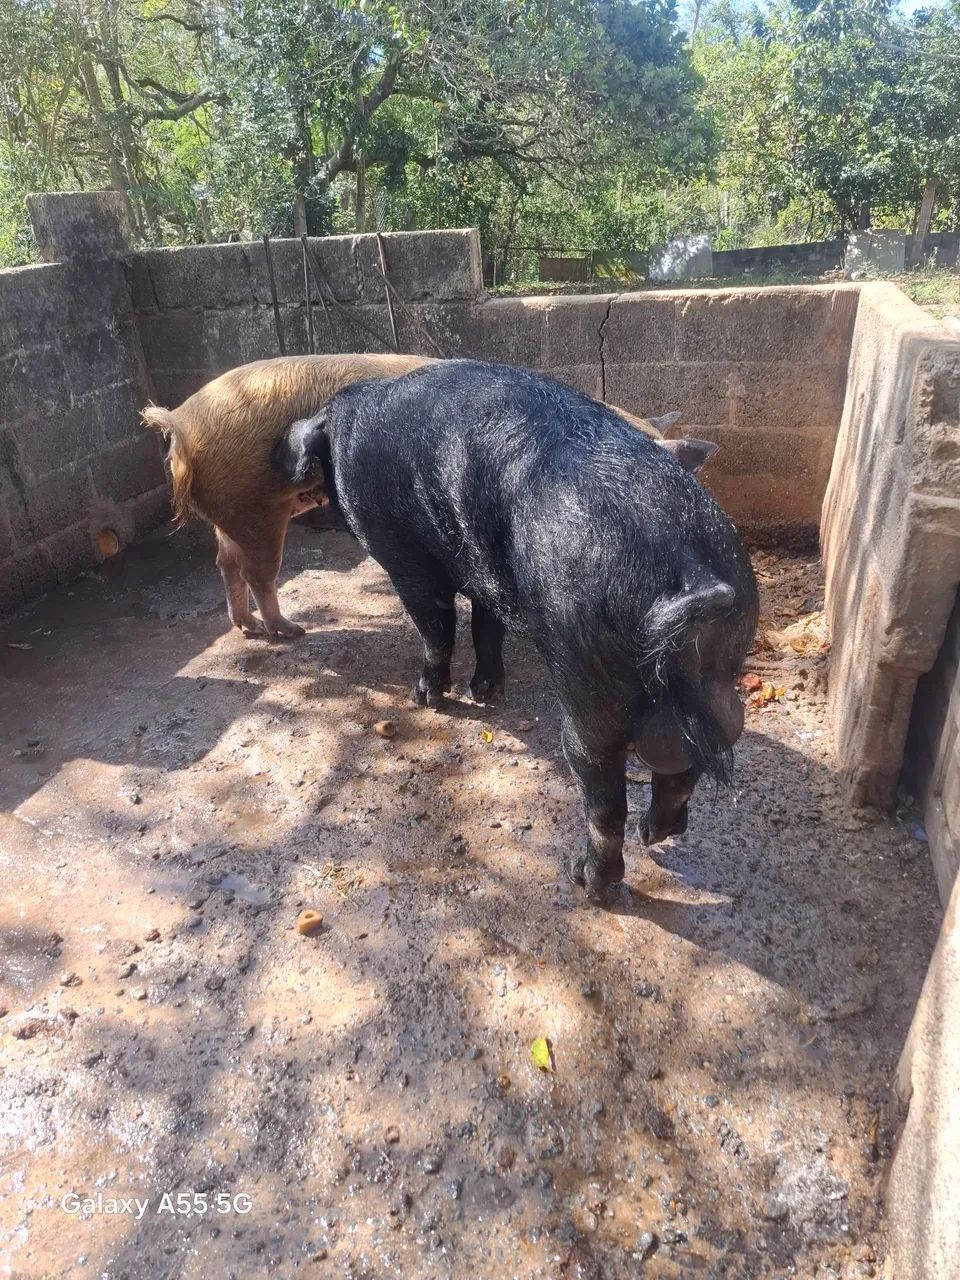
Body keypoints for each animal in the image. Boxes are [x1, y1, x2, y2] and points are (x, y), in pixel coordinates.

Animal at [276, 359, 758, 897]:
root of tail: (690, 570)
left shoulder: (404, 559)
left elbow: (435, 627)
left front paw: (426, 698)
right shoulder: (487, 573)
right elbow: (487, 627)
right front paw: (486, 693)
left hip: (588, 677)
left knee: (602, 790)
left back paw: (586, 880)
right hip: (722, 658)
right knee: (692, 753)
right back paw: (653, 835)